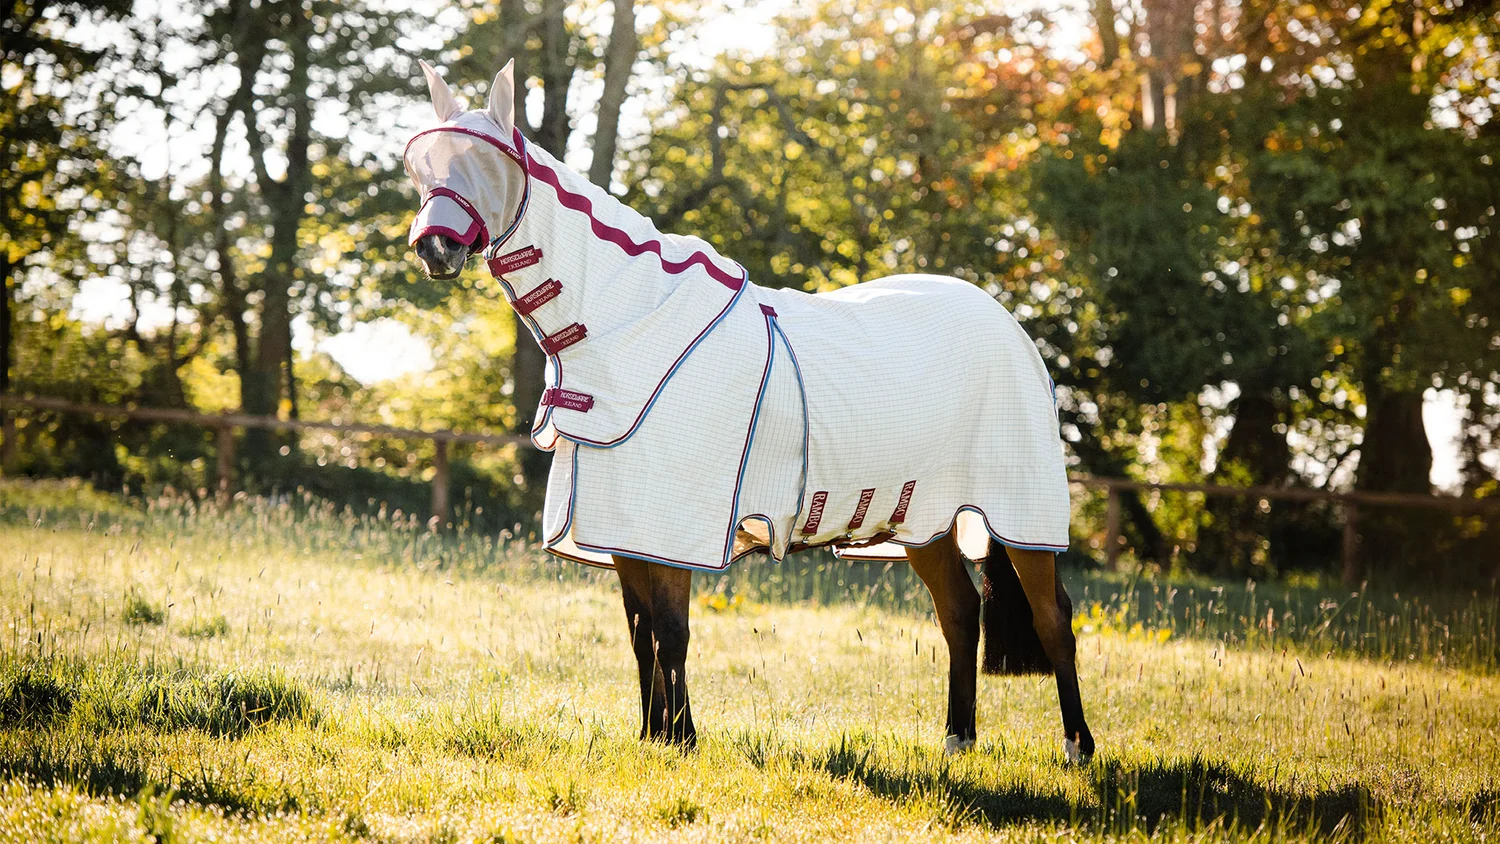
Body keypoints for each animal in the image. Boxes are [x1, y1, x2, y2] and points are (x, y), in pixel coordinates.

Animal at [402, 60, 1095, 763]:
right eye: (421, 165)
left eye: (481, 161)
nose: (434, 247)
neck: (635, 324)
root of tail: (1009, 324)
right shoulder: (625, 533)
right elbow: (641, 634)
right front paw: (655, 735)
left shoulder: (676, 530)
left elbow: (671, 633)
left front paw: (681, 740)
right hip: (923, 519)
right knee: (959, 614)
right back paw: (957, 738)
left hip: (1021, 513)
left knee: (1053, 618)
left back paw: (1077, 745)